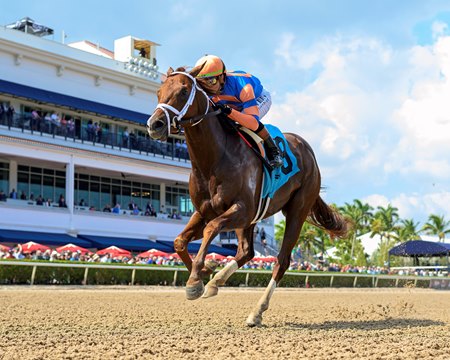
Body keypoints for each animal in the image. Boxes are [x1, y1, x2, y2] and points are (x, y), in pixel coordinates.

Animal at [146, 64, 346, 326]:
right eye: (159, 92)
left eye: (183, 91)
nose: (155, 125)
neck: (214, 159)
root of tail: (309, 152)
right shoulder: (204, 211)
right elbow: (180, 241)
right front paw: (204, 273)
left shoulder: (241, 210)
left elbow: (211, 229)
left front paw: (196, 280)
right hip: (253, 219)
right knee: (247, 251)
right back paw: (216, 281)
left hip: (297, 210)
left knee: (281, 261)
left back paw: (256, 311)